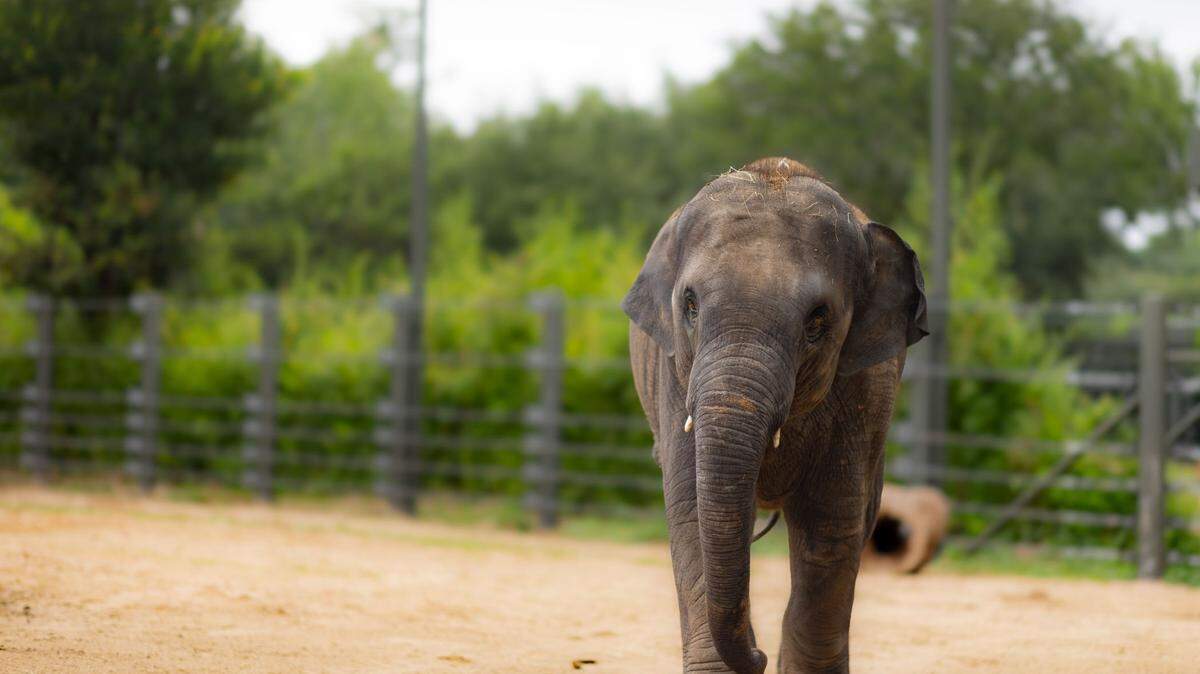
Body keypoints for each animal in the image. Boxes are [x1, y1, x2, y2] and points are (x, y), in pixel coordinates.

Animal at [623, 157, 927, 673]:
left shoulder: (865, 390)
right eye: (690, 305)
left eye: (817, 320)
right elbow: (691, 512)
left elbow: (831, 523)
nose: (759, 655)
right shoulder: (674, 376)